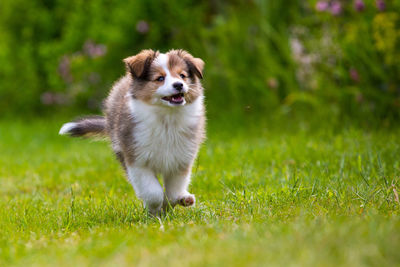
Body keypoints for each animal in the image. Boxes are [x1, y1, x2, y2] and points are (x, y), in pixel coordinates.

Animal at [59, 49, 206, 216]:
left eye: (182, 75)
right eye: (160, 78)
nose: (179, 85)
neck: (166, 118)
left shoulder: (180, 160)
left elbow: (173, 192)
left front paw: (174, 202)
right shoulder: (136, 159)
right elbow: (153, 192)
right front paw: (154, 211)